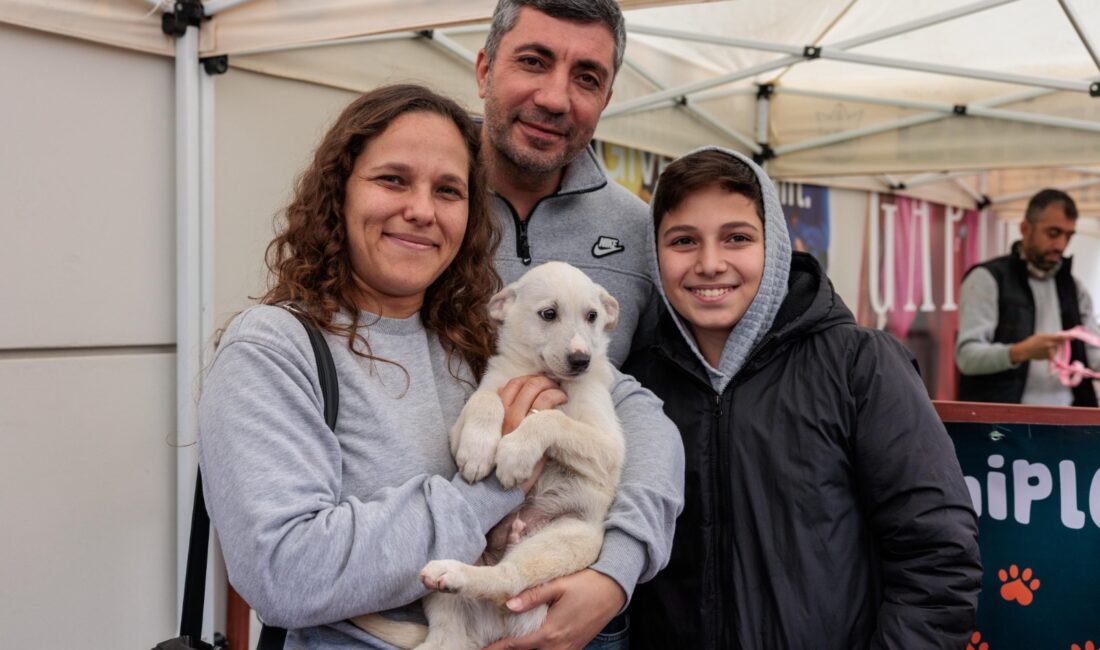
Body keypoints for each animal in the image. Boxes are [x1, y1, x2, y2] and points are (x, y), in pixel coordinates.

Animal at [354, 262, 624, 650]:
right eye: (549, 314)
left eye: (592, 316)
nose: (581, 360)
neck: (544, 375)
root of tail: (494, 628)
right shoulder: (463, 422)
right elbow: (487, 399)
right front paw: (478, 451)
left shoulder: (610, 447)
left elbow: (551, 419)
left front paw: (514, 453)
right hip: (462, 560)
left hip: (563, 540)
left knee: (507, 581)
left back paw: (456, 573)